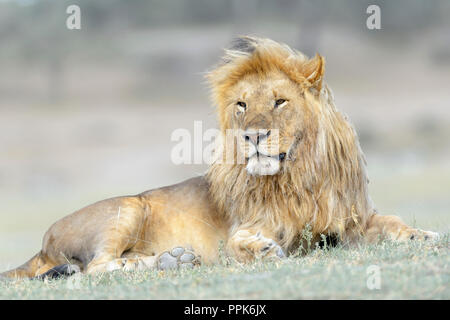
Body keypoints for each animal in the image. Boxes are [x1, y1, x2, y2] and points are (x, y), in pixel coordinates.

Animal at [0, 36, 436, 278]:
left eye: (279, 101)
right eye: (242, 105)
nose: (252, 136)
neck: (299, 177)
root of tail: (42, 242)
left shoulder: (352, 218)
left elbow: (392, 222)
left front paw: (423, 235)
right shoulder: (248, 226)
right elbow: (240, 242)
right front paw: (262, 250)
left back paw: (172, 260)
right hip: (128, 209)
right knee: (96, 267)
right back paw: (166, 262)